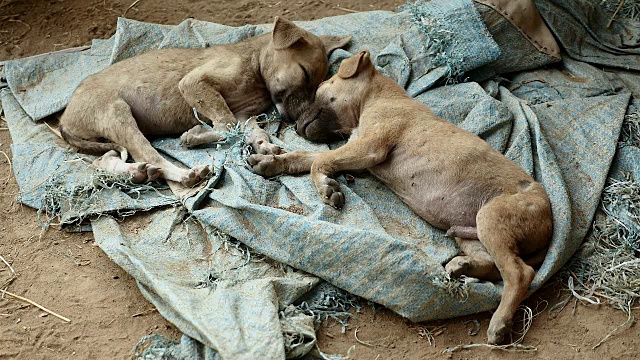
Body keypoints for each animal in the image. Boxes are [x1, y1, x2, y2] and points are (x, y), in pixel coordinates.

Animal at [58, 16, 350, 186]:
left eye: (318, 86)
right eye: (305, 73)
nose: (297, 122)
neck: (254, 67)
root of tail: (64, 120)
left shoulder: (244, 114)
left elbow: (249, 130)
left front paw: (264, 146)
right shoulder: (195, 84)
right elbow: (225, 126)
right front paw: (196, 134)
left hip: (109, 135)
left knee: (103, 160)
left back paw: (135, 173)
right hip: (118, 114)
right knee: (150, 155)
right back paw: (184, 174)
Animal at [250, 51, 556, 346]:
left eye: (320, 89)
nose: (295, 126)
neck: (377, 98)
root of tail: (549, 224)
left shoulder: (369, 147)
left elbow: (319, 161)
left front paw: (326, 187)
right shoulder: (356, 152)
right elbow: (306, 157)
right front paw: (271, 162)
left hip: (491, 218)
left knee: (519, 273)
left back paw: (500, 323)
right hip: (468, 231)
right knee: (494, 265)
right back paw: (463, 266)